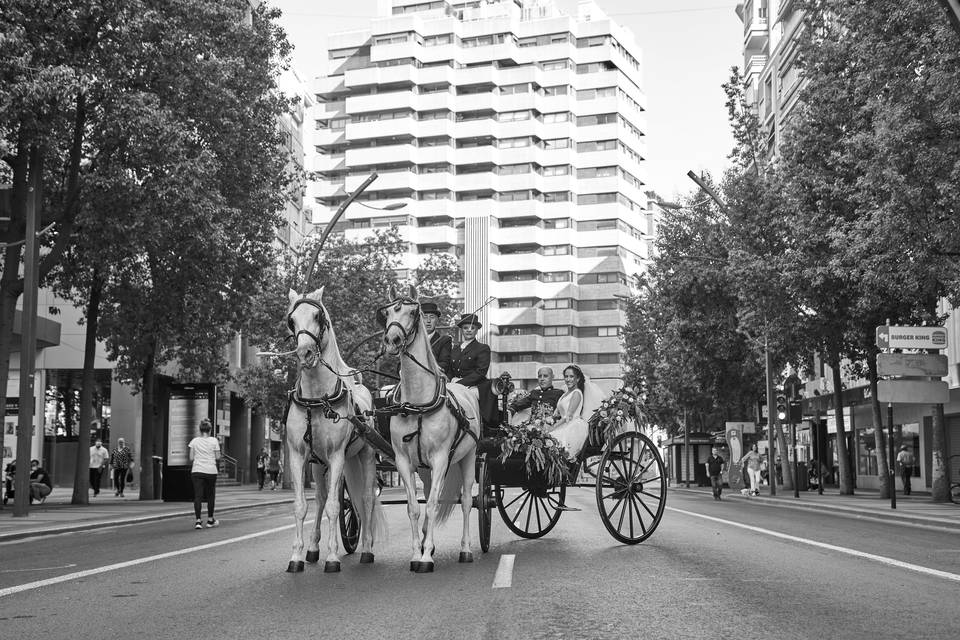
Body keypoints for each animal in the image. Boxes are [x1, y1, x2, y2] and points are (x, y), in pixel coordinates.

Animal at [284, 288, 386, 572]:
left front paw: (332, 557)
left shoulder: (338, 455)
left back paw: (367, 549)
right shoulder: (298, 455)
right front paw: (297, 556)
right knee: (319, 498)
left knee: (366, 499)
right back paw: (313, 548)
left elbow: (334, 506)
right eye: (291, 320)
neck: (317, 399)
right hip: (319, 465)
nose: (305, 354)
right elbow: (302, 505)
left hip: (364, 455)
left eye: (318, 316)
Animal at [376, 284, 480, 576]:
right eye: (387, 313)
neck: (418, 402)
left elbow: (433, 505)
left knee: (467, 501)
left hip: (468, 458)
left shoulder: (442, 458)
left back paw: (465, 550)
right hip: (425, 468)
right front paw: (417, 552)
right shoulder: (403, 460)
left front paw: (426, 558)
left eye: (414, 312)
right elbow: (413, 507)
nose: (392, 340)